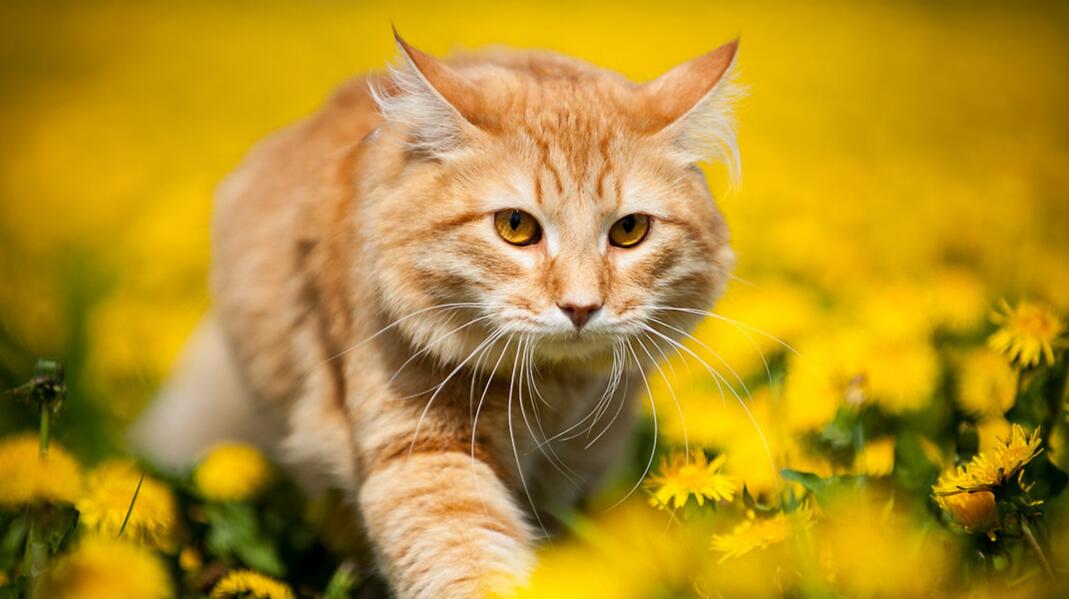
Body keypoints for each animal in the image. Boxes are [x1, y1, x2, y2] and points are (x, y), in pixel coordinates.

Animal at [132, 29, 740, 598]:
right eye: (515, 227)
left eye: (629, 230)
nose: (580, 306)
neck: (548, 395)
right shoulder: (422, 456)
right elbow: (468, 564)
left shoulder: (573, 472)